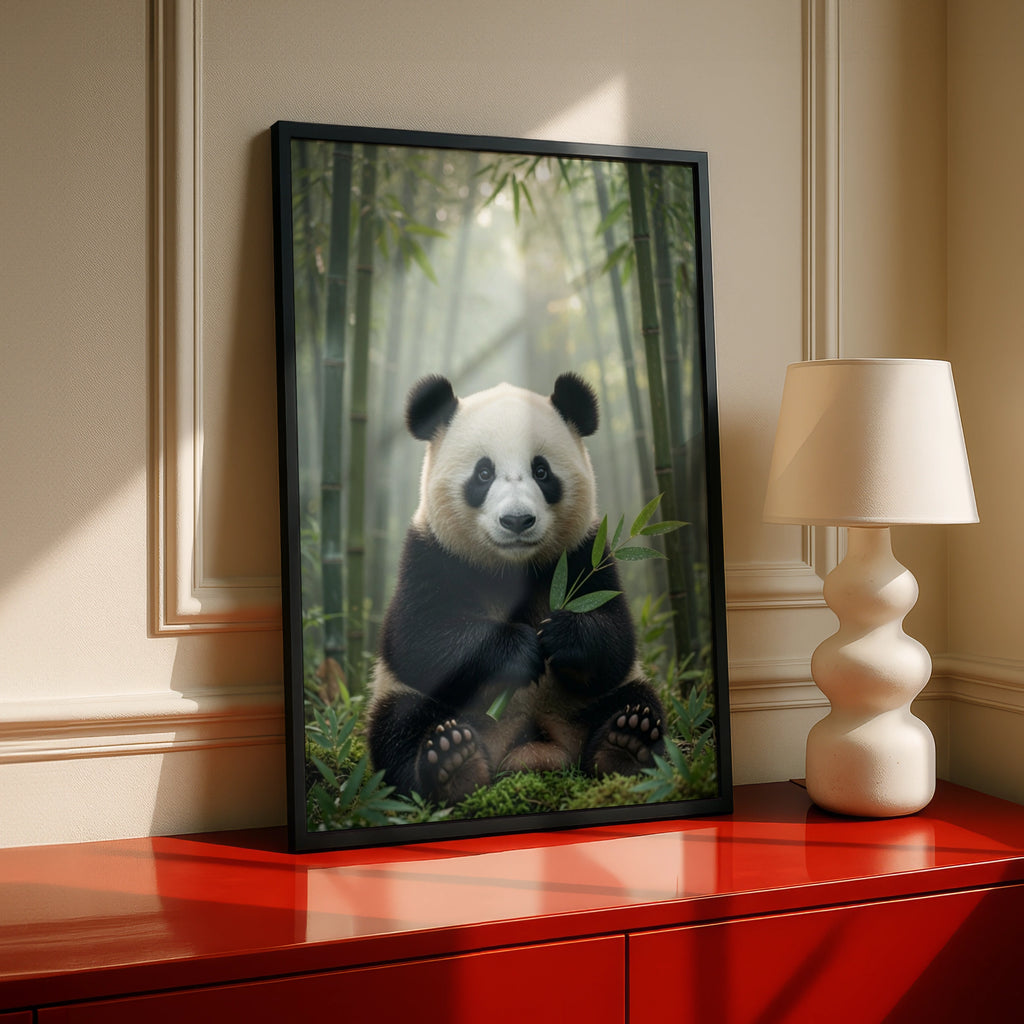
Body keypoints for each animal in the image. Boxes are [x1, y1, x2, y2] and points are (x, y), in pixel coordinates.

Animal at [366, 372, 667, 806]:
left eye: (541, 471)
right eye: (483, 473)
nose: (517, 520)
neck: (511, 568)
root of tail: (528, 746)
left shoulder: (585, 552)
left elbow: (616, 639)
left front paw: (564, 635)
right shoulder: (431, 554)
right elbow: (417, 637)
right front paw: (517, 650)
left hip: (588, 704)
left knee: (636, 700)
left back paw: (625, 743)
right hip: (421, 701)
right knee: (400, 723)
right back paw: (453, 762)